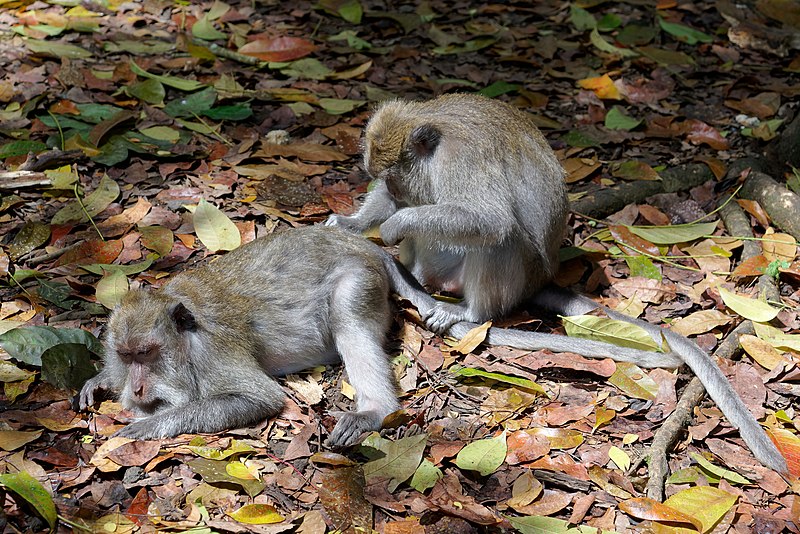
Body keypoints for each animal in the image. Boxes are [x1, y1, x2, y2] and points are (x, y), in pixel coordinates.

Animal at [79, 225, 438, 448]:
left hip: (361, 279)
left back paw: (374, 411)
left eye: (146, 353)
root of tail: (365, 245)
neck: (185, 336)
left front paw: (149, 424)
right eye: (126, 356)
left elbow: (260, 398)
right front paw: (100, 379)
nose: (137, 388)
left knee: (348, 311)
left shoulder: (213, 352)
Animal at [324, 94, 788, 476]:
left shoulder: (463, 161)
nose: (389, 192)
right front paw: (354, 222)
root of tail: (537, 282)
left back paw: (471, 312)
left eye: (393, 177)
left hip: (514, 273)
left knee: (501, 237)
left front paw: (395, 222)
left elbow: (490, 220)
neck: (433, 139)